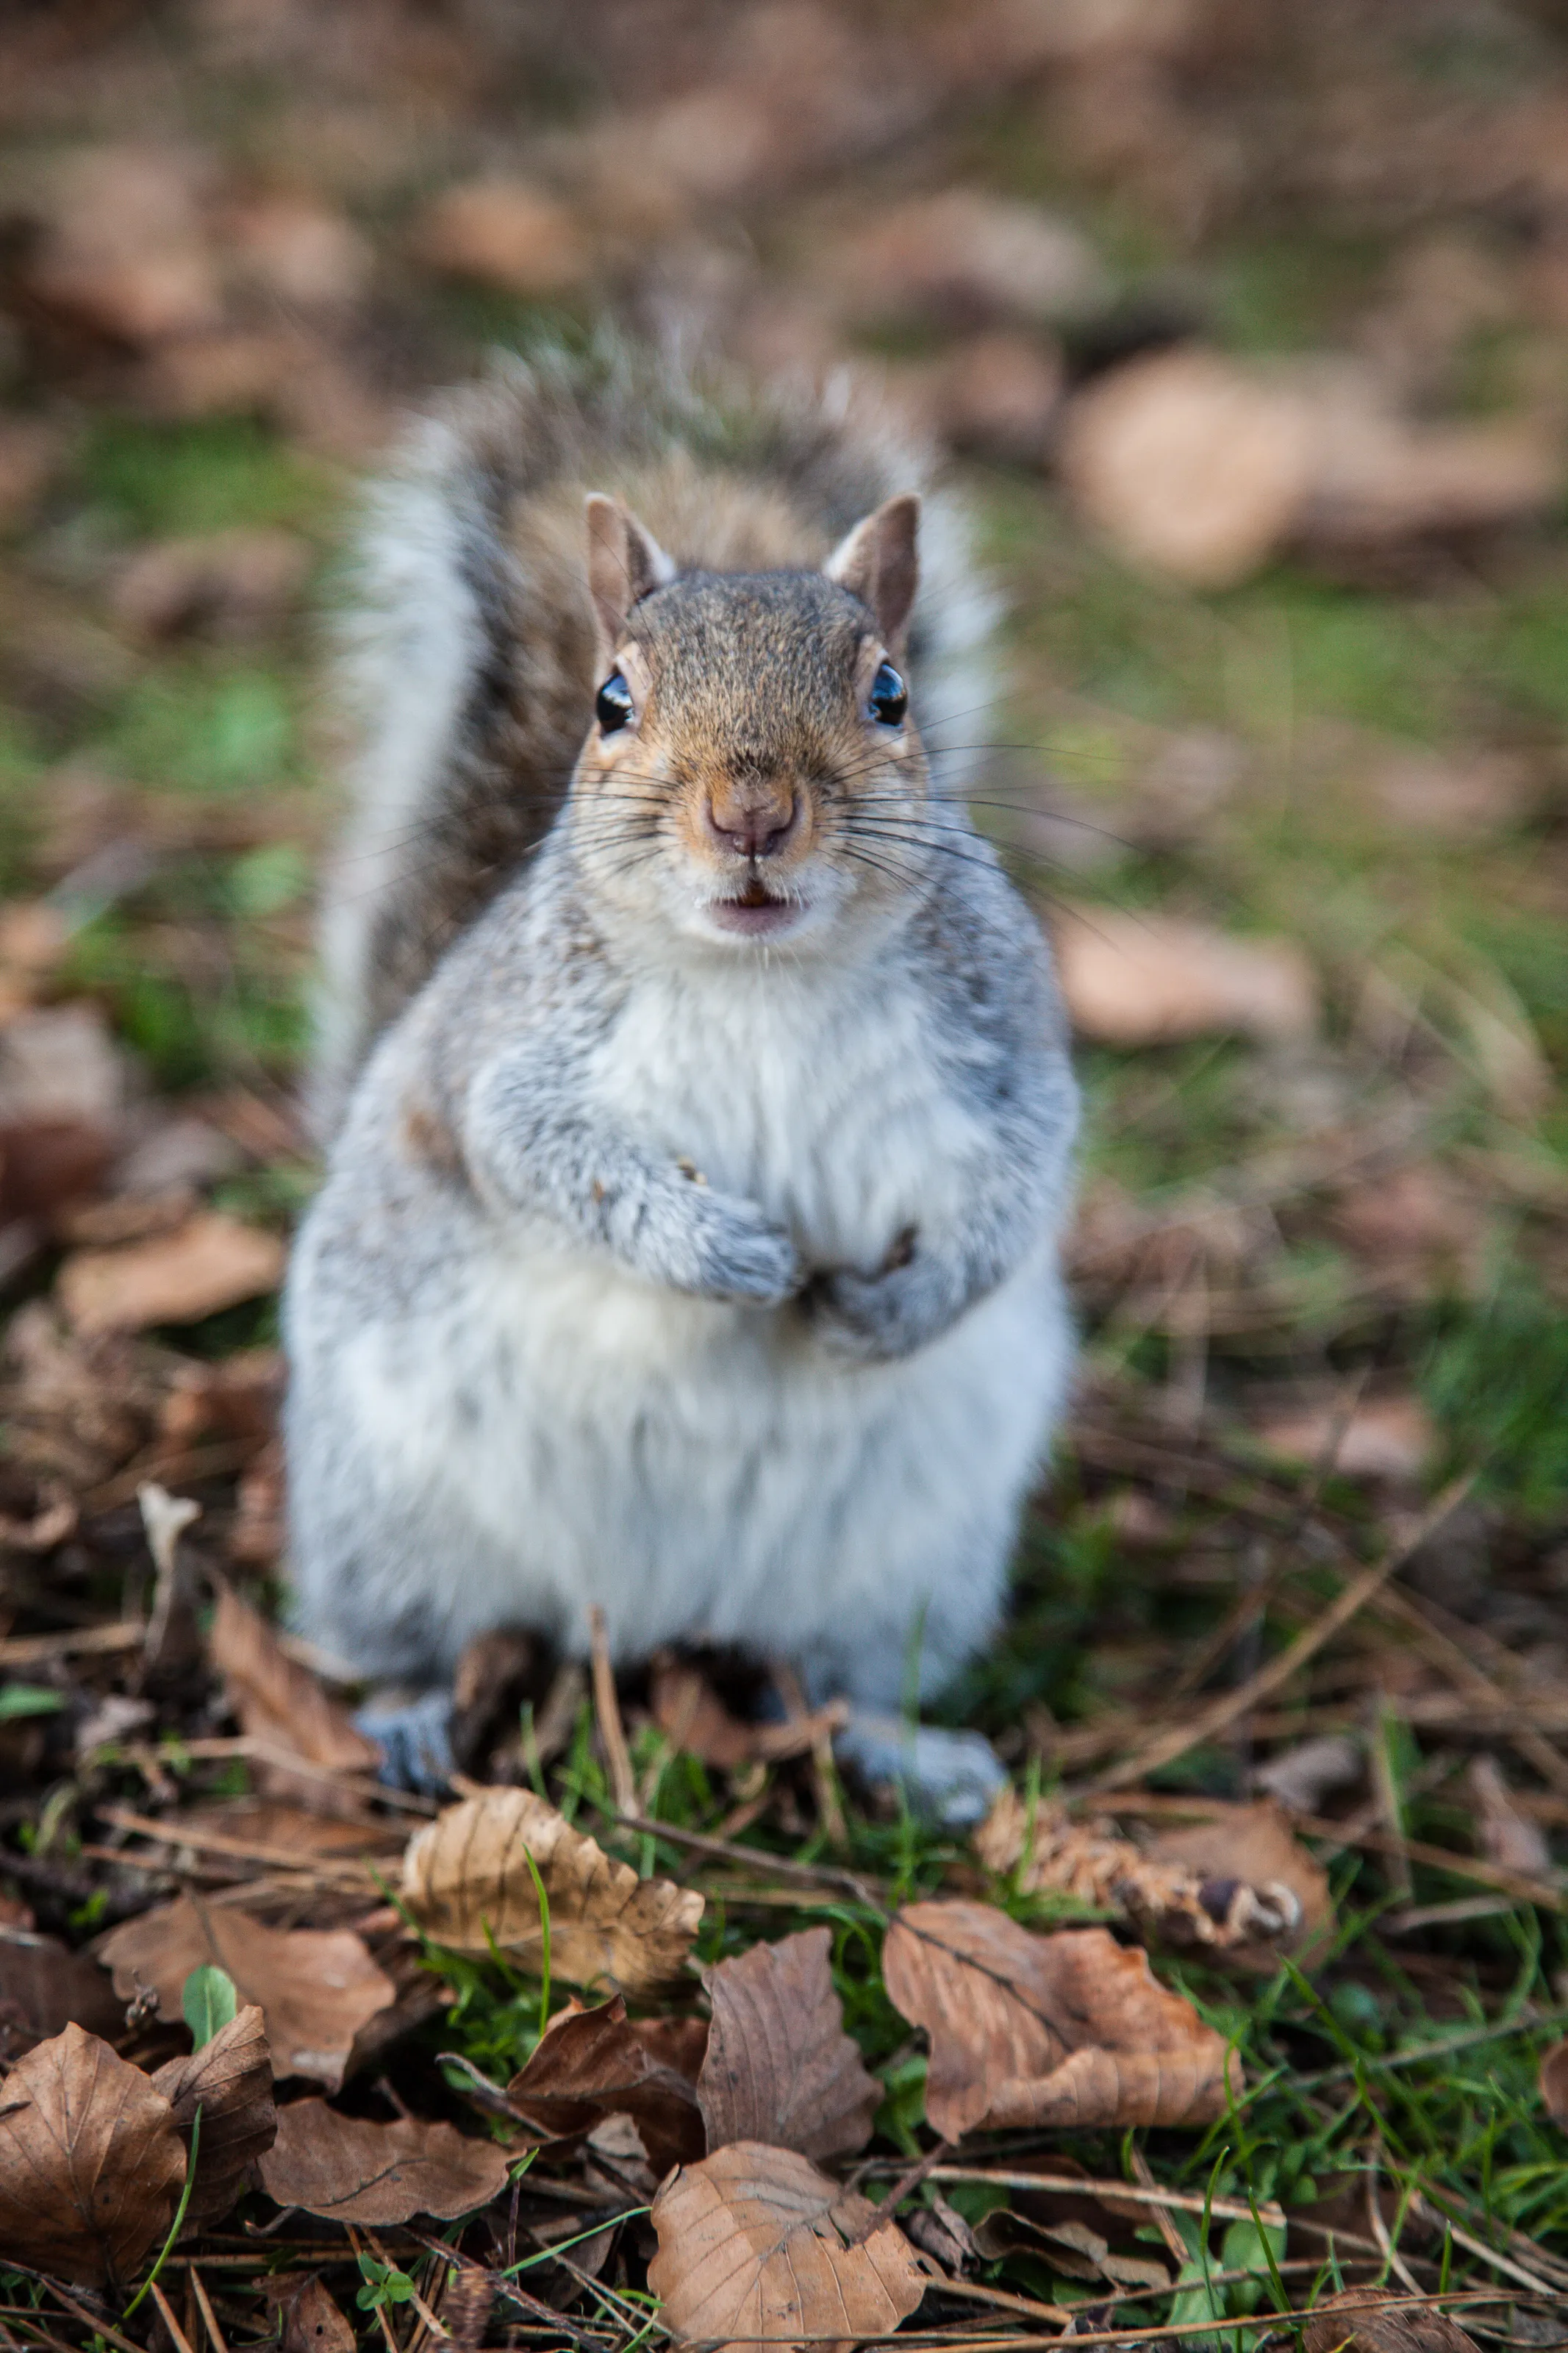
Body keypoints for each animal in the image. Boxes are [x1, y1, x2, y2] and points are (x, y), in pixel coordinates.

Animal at [283, 339, 1079, 1823]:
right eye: (610, 704)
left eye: (891, 696)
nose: (750, 812)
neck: (761, 981)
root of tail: (647, 1621)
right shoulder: (504, 1050)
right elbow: (534, 1155)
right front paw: (722, 1252)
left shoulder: (1007, 1047)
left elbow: (1026, 1182)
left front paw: (890, 1310)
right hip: (384, 1515)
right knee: (414, 1637)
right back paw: (415, 1715)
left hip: (902, 1576)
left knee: (826, 1680)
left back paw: (904, 1753)